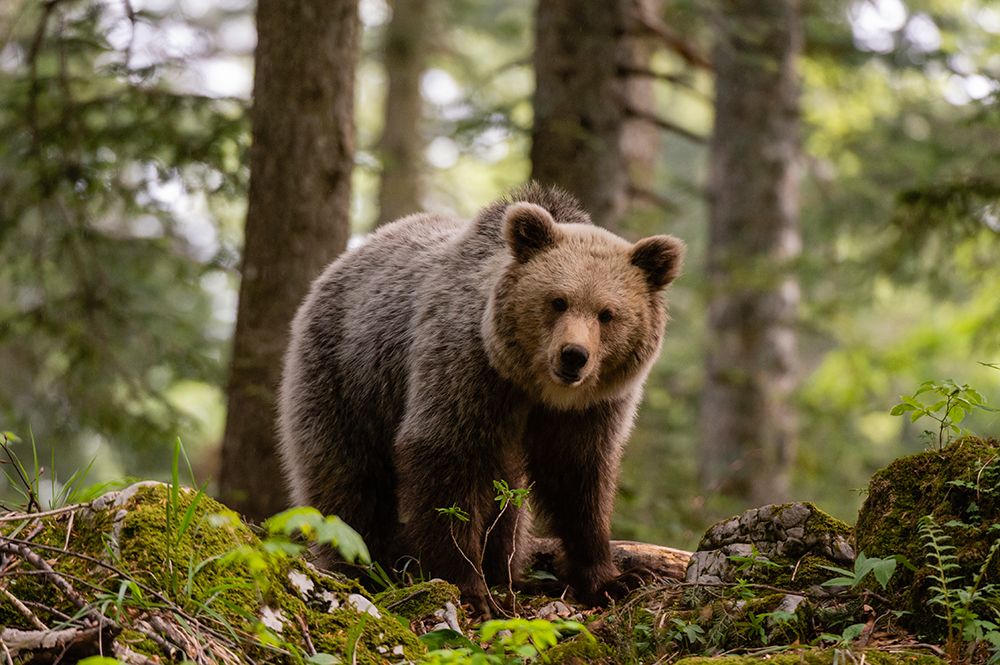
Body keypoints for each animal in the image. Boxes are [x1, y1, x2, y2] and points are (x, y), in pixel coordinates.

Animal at [277, 183, 685, 613]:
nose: (573, 355)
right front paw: (468, 589)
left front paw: (612, 579)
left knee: (509, 503)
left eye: (607, 313)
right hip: (348, 378)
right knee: (348, 480)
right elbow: (446, 460)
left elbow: (578, 481)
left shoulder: (589, 409)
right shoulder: (467, 370)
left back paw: (508, 574)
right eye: (558, 301)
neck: (533, 386)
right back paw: (366, 567)